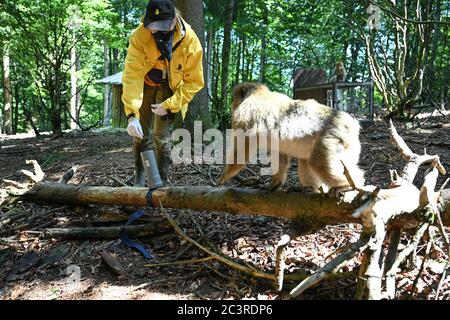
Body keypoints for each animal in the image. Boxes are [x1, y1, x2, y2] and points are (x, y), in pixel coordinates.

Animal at [218, 81, 366, 194]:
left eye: (234, 99)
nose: (232, 105)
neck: (257, 94)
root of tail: (352, 124)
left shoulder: (244, 116)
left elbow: (242, 148)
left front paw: (224, 176)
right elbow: (280, 156)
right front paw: (274, 184)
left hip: (335, 134)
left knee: (317, 161)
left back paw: (347, 185)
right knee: (307, 161)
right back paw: (313, 188)